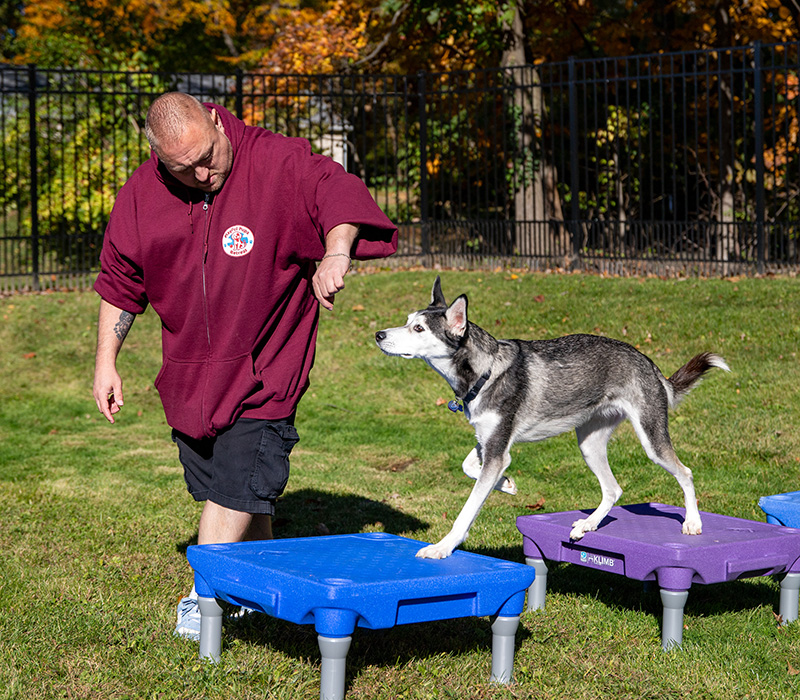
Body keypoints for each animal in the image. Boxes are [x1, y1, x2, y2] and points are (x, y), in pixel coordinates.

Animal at [376, 278, 732, 556]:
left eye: (418, 328)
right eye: (408, 320)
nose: (379, 334)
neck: (486, 370)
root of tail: (648, 362)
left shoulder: (496, 450)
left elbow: (467, 510)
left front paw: (443, 547)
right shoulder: (488, 443)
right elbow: (469, 467)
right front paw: (507, 484)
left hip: (651, 439)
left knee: (685, 473)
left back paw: (692, 521)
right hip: (589, 444)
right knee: (613, 490)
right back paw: (588, 524)